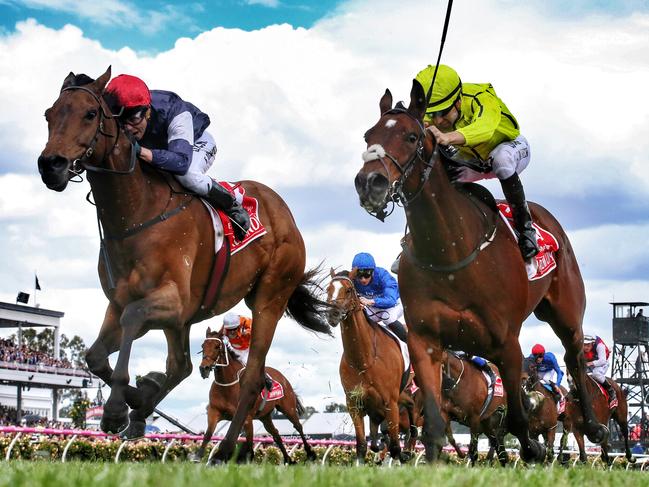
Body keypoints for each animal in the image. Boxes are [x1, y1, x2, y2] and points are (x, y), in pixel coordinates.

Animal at [190, 330, 316, 464]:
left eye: (217, 346)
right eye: (203, 346)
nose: (204, 368)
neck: (227, 386)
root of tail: (283, 378)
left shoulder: (246, 417)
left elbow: (247, 440)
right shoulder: (214, 412)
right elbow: (208, 434)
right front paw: (197, 457)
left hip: (288, 408)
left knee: (298, 426)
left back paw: (310, 454)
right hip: (265, 416)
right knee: (276, 434)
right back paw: (288, 460)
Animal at [326, 270, 412, 466]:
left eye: (349, 290)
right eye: (328, 289)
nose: (333, 314)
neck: (364, 359)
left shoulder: (390, 403)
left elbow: (395, 447)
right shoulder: (354, 403)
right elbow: (362, 445)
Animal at [352, 79, 604, 462]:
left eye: (411, 136)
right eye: (369, 135)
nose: (370, 183)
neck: (449, 251)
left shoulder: (508, 343)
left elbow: (517, 418)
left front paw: (532, 449)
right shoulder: (425, 341)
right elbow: (434, 423)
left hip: (566, 314)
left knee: (573, 357)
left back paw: (592, 426)